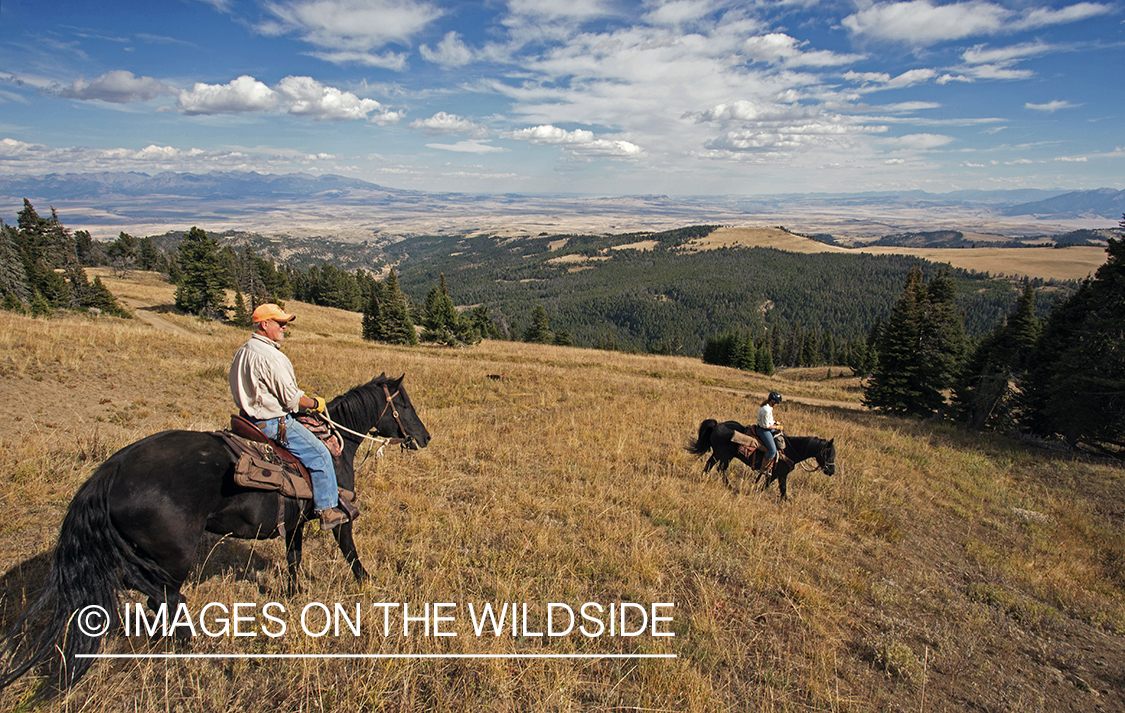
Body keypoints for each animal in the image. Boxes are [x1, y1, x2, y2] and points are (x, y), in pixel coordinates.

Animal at [0, 371, 427, 701]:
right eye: (404, 404)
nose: (424, 438)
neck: (335, 449)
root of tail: (112, 470)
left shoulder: (293, 524)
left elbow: (293, 558)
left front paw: (294, 595)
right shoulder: (338, 514)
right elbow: (350, 552)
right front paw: (369, 586)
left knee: (145, 592)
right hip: (175, 556)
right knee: (165, 598)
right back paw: (191, 645)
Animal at [684, 418, 837, 497]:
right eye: (827, 453)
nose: (831, 471)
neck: (790, 450)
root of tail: (718, 425)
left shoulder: (781, 475)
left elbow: (782, 490)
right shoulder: (775, 474)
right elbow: (768, 486)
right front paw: (754, 493)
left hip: (720, 455)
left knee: (711, 465)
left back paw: (706, 478)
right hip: (724, 455)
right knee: (719, 468)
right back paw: (727, 484)